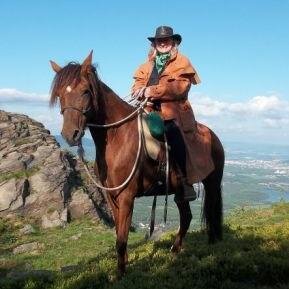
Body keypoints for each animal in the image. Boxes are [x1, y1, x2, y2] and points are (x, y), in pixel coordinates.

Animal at [49, 51, 224, 274]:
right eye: (60, 94)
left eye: (86, 91)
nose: (70, 134)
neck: (118, 137)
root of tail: (214, 137)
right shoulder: (111, 196)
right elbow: (119, 234)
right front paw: (122, 265)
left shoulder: (126, 197)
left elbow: (121, 240)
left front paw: (120, 274)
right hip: (178, 192)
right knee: (186, 217)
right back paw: (175, 251)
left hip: (212, 183)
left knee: (209, 212)